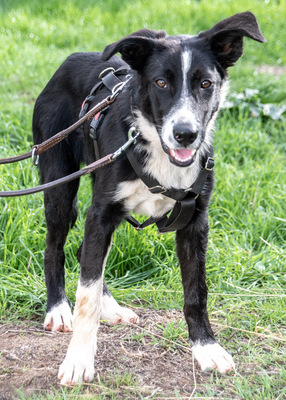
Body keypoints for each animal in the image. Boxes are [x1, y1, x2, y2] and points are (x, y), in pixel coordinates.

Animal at [32, 12, 264, 384]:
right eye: (160, 83)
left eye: (206, 83)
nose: (186, 134)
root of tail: (72, 58)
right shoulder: (101, 213)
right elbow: (86, 295)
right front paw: (79, 359)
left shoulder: (195, 222)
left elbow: (196, 292)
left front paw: (206, 348)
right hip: (58, 183)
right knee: (56, 247)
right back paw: (58, 309)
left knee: (84, 253)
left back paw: (111, 307)